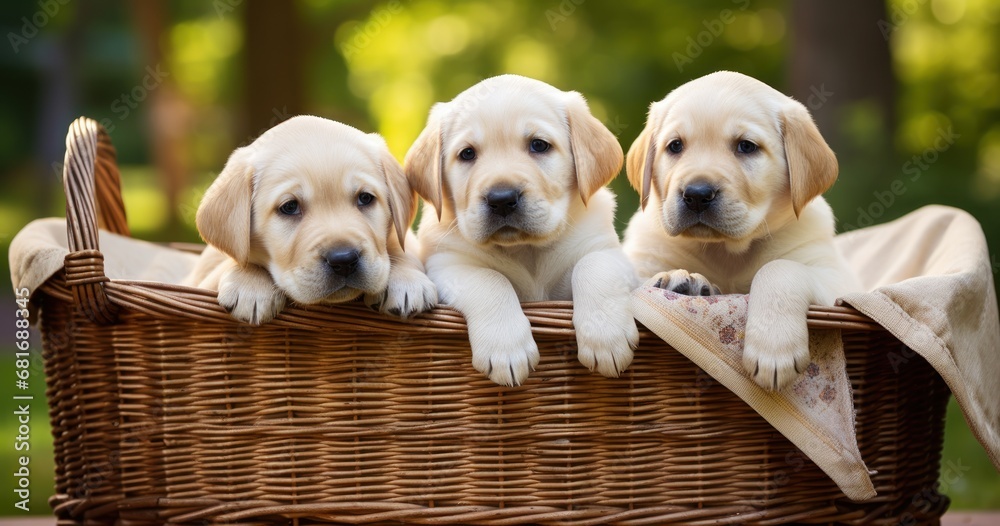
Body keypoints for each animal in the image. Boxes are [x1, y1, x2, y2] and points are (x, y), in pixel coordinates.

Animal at [186, 113, 436, 324]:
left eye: (365, 198)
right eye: (289, 207)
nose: (344, 260)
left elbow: (399, 248)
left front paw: (407, 280)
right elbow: (240, 260)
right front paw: (250, 284)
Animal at [406, 75, 640, 388]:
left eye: (539, 145)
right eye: (467, 153)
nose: (501, 199)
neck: (525, 249)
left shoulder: (607, 250)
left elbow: (594, 266)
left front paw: (605, 336)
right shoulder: (448, 264)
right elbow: (490, 280)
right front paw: (506, 348)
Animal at [620, 71, 856, 392]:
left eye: (746, 146)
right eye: (675, 146)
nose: (697, 194)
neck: (726, 250)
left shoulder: (837, 279)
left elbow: (779, 268)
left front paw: (773, 347)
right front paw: (677, 279)